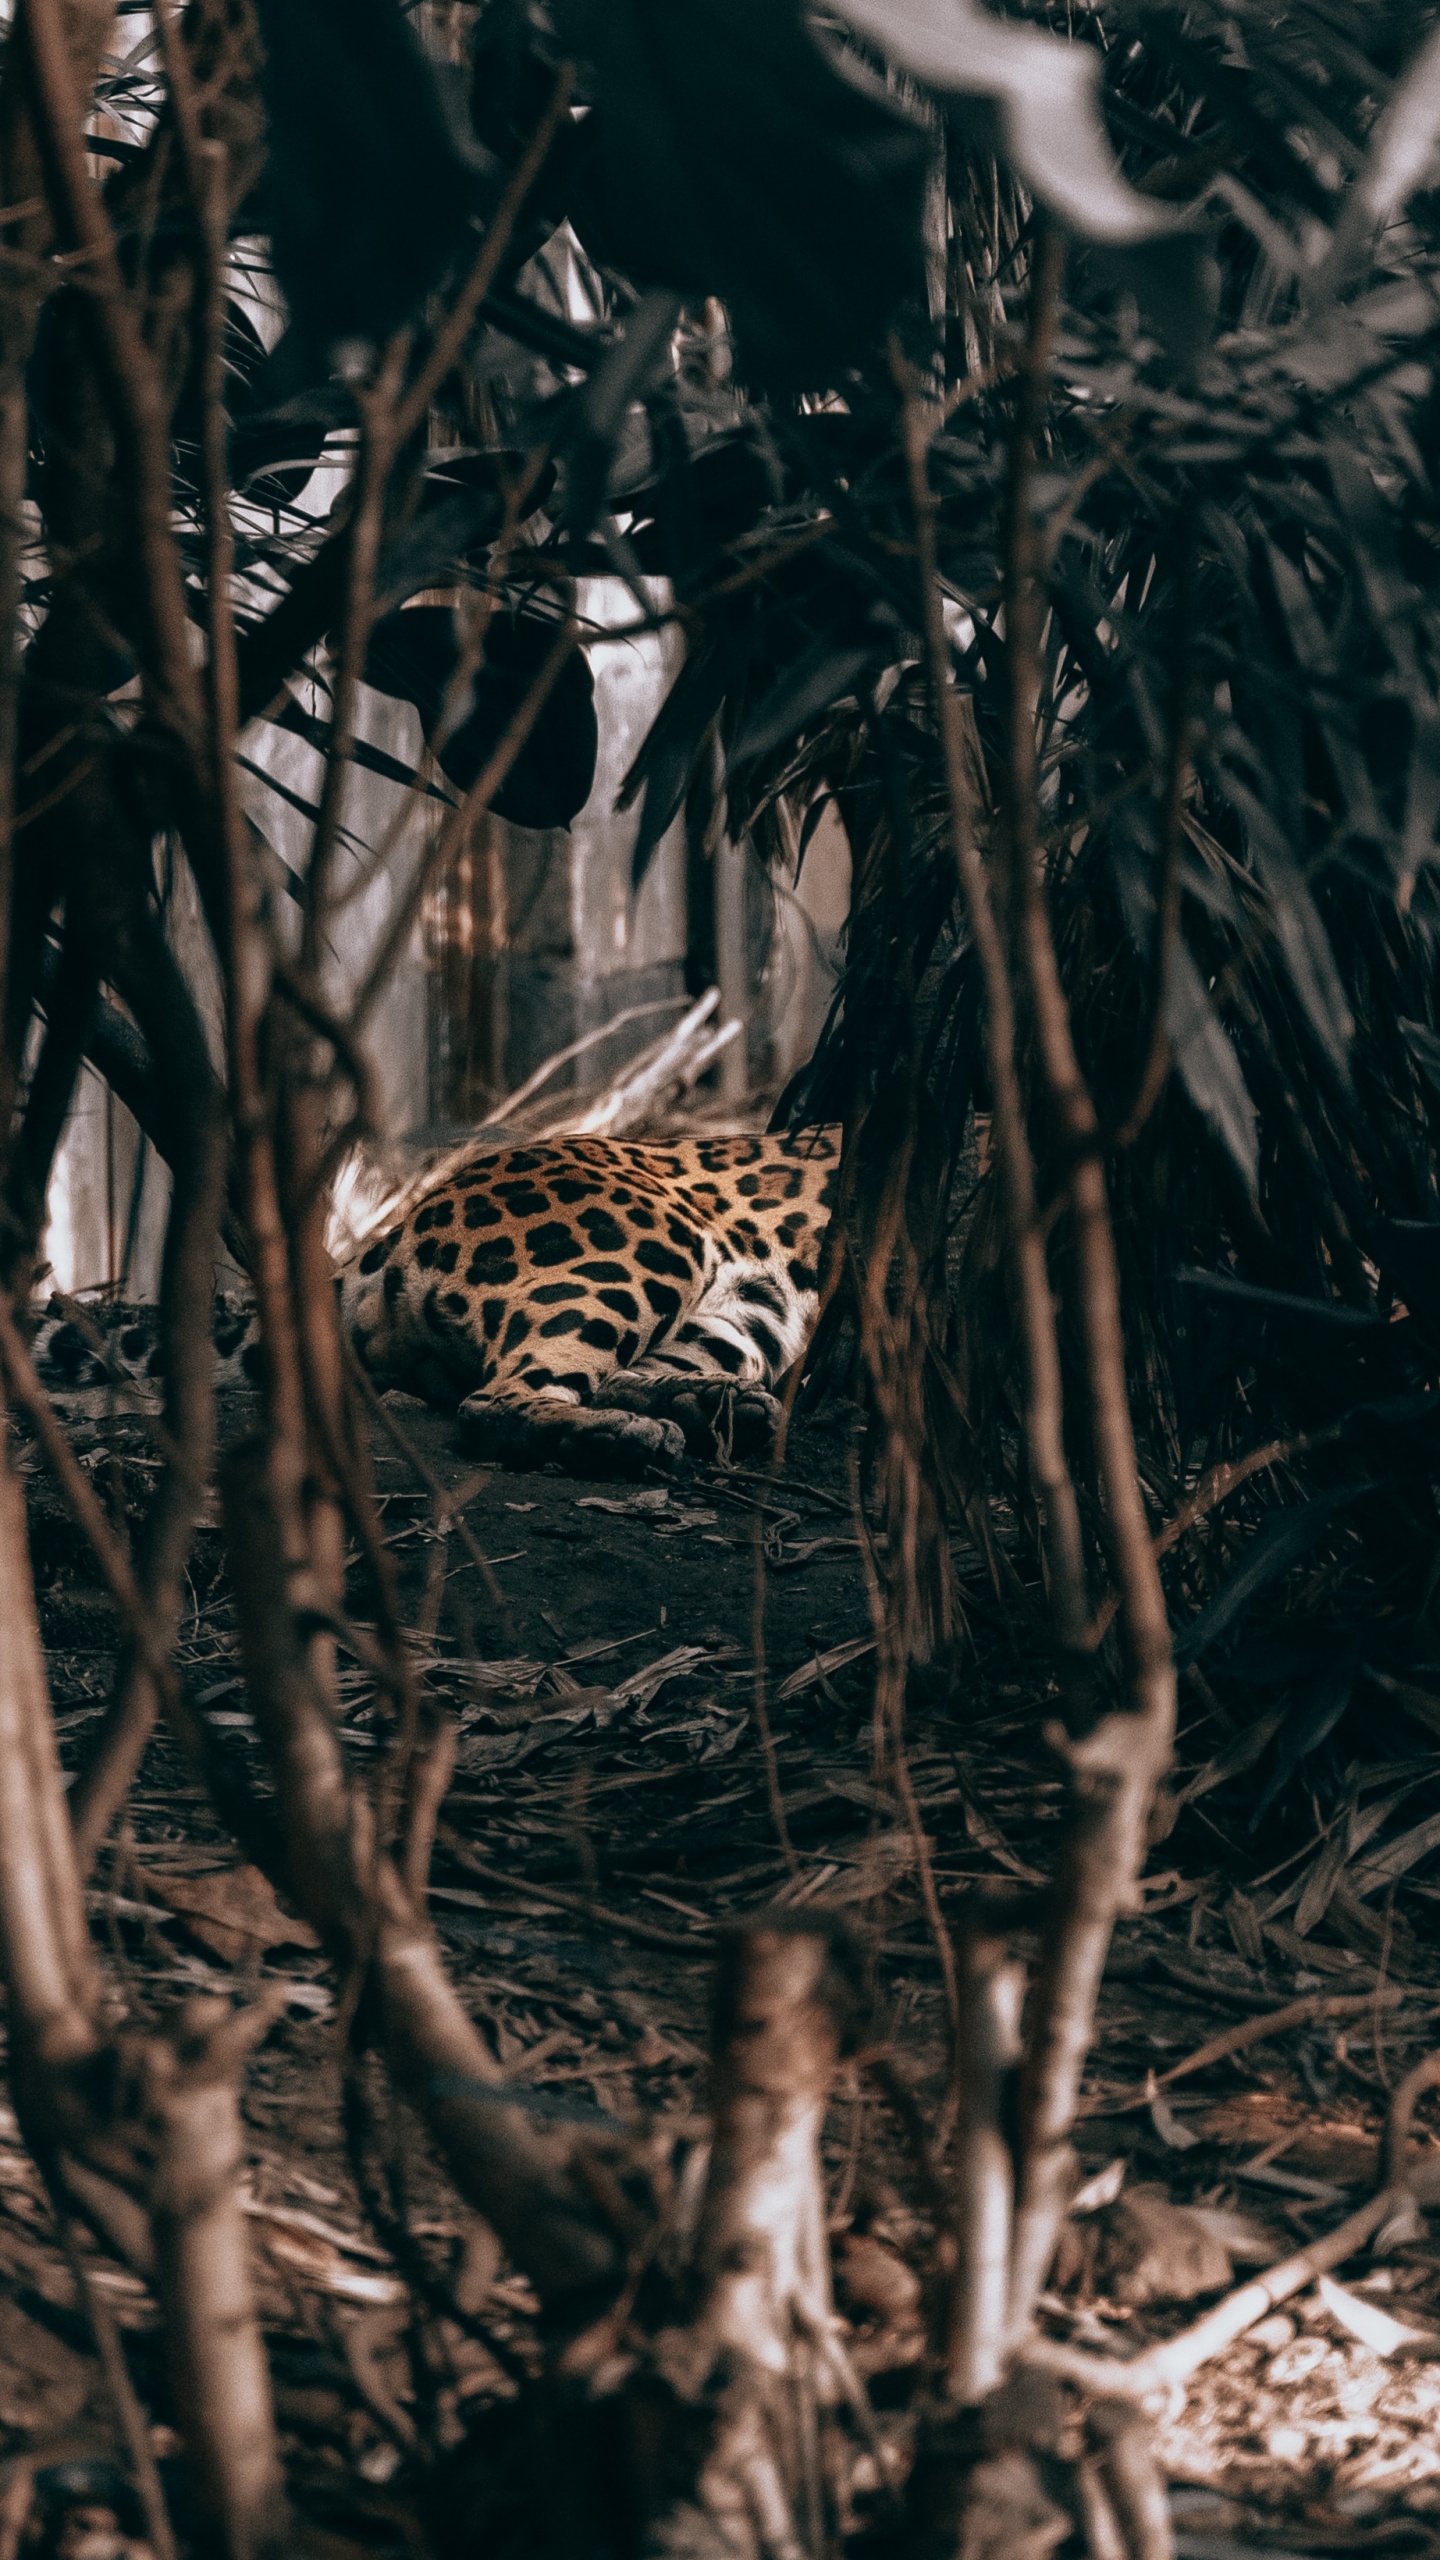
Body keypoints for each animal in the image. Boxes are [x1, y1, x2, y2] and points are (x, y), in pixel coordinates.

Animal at [30, 1124, 842, 1478]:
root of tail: (389, 1230)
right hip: (641, 1243)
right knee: (499, 1399)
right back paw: (618, 1437)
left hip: (747, 1310)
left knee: (615, 1373)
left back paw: (713, 1407)